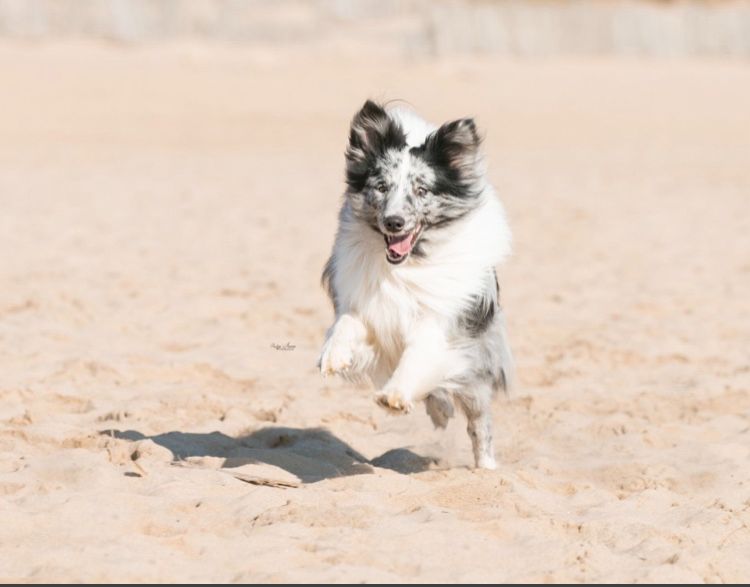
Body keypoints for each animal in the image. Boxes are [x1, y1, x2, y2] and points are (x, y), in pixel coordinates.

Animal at [318, 100, 516, 468]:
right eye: (381, 187)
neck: (405, 266)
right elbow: (346, 324)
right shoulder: (369, 307)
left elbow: (419, 355)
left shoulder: (442, 324)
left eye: (421, 190)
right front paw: (333, 356)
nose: (393, 222)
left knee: (479, 425)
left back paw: (486, 468)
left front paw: (395, 395)